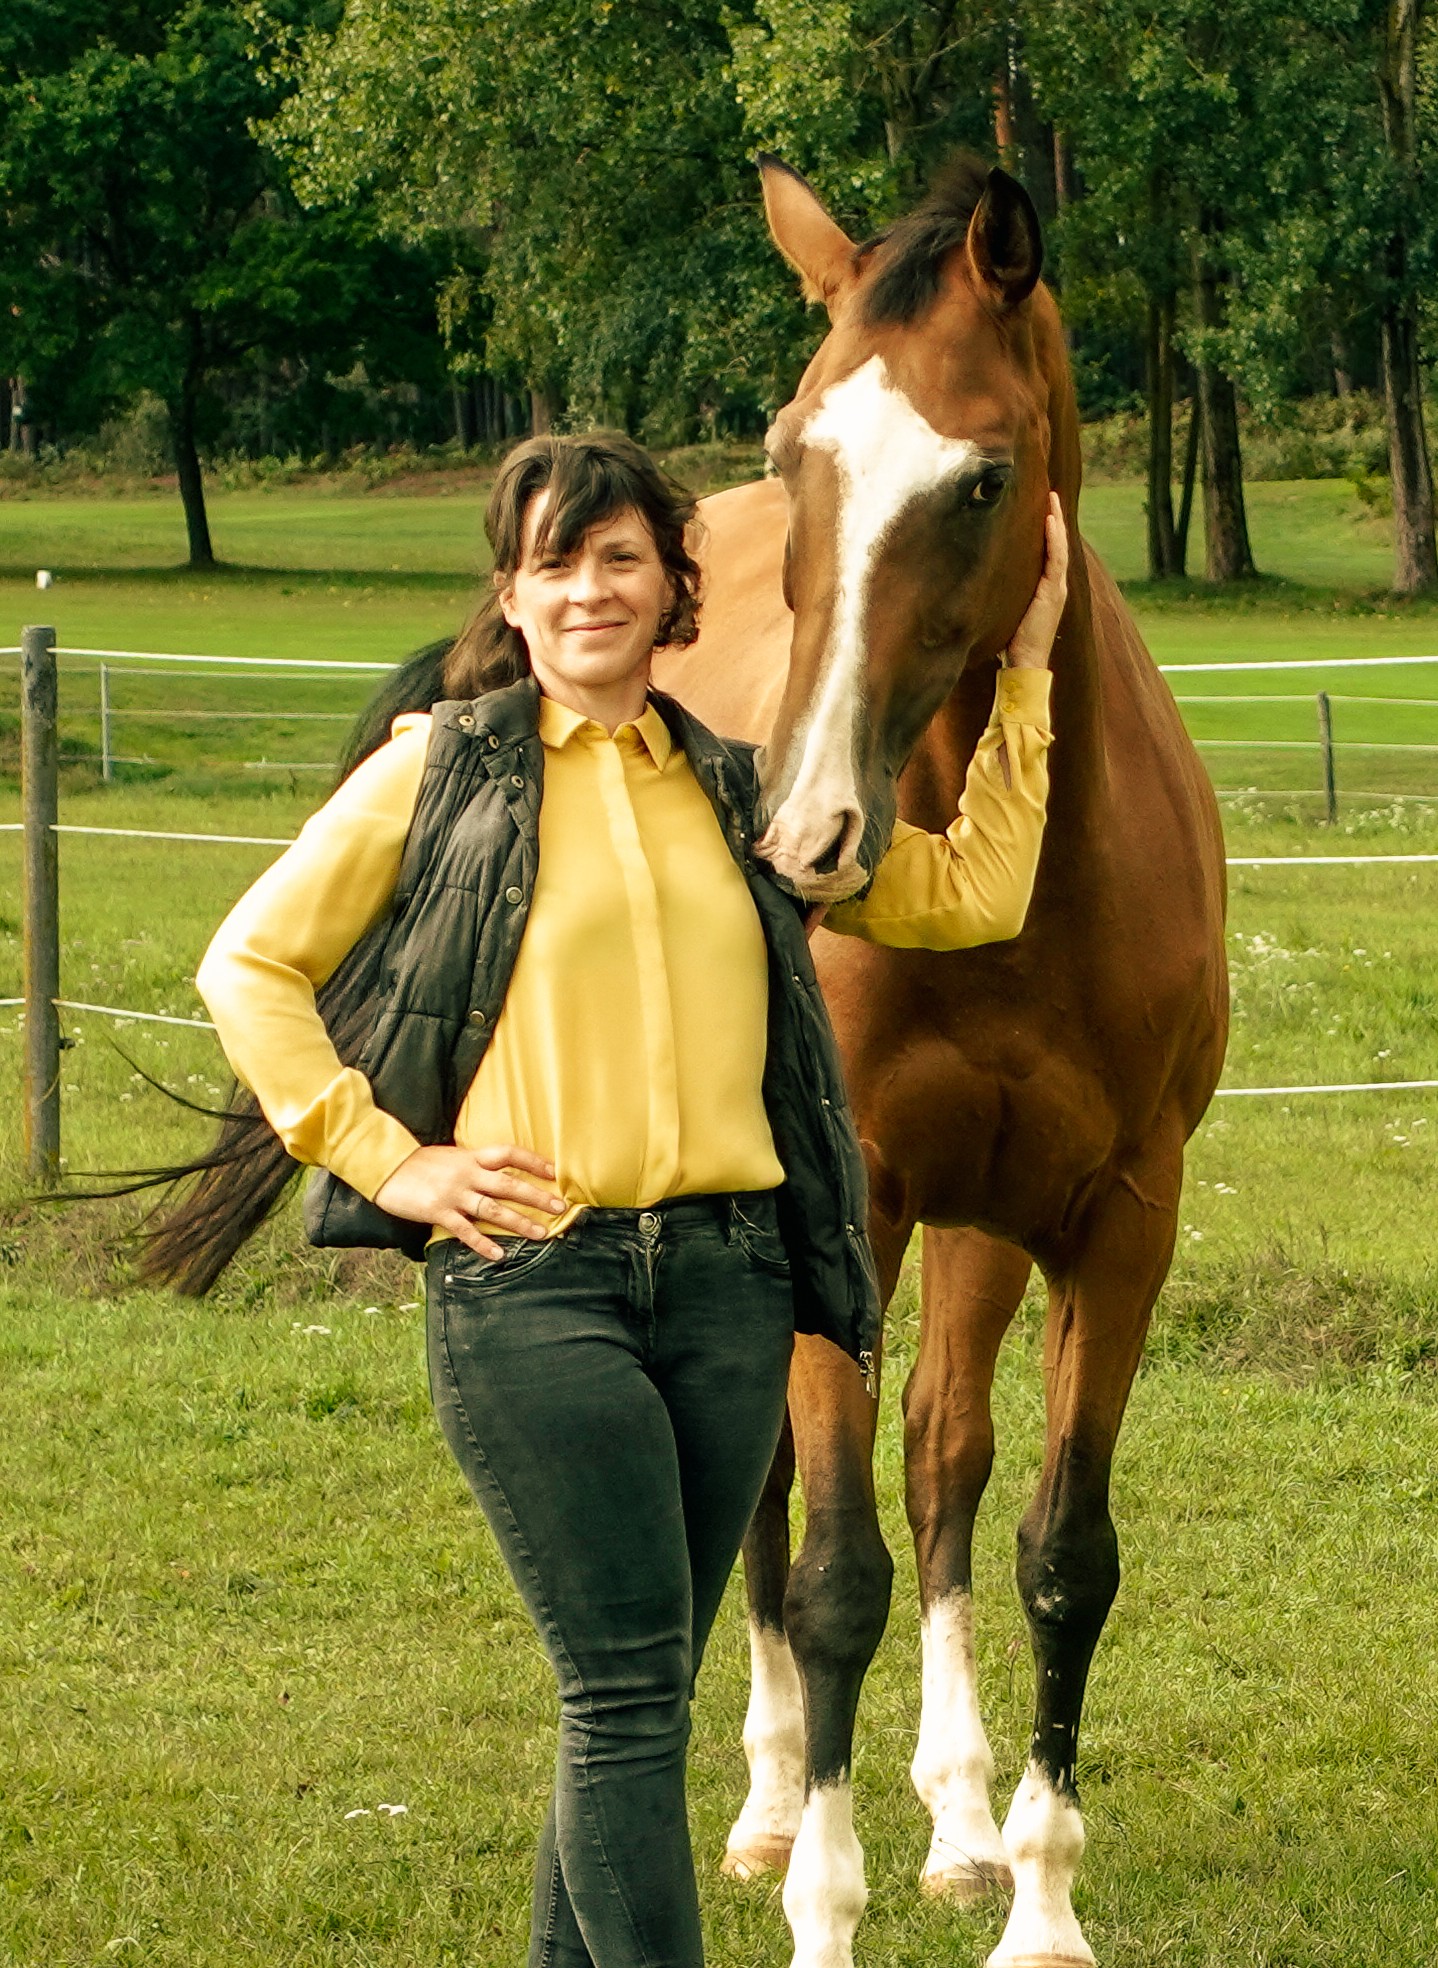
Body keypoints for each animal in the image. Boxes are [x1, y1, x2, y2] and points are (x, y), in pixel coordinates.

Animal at [651, 155, 1229, 1968]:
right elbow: (833, 1570)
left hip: (982, 1223)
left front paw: (1036, 1895)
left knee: (943, 1453)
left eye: (978, 477)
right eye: (792, 449)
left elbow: (1057, 1549)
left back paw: (964, 1825)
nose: (805, 834)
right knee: (772, 1492)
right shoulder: (846, 1216)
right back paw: (772, 1810)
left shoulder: (1115, 1223)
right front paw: (822, 1908)